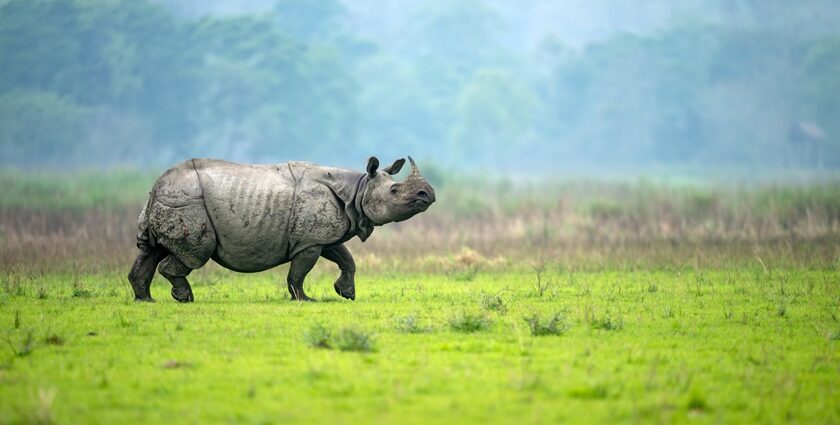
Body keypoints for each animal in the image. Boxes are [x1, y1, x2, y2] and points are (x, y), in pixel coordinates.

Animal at [128, 156, 436, 302]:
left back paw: (146, 300)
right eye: (395, 191)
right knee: (194, 254)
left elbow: (346, 259)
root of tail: (157, 185)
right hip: (188, 202)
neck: (358, 189)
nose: (428, 194)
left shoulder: (321, 234)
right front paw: (305, 299)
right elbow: (299, 272)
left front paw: (346, 293)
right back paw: (185, 298)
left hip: (168, 199)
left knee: (152, 250)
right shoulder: (310, 241)